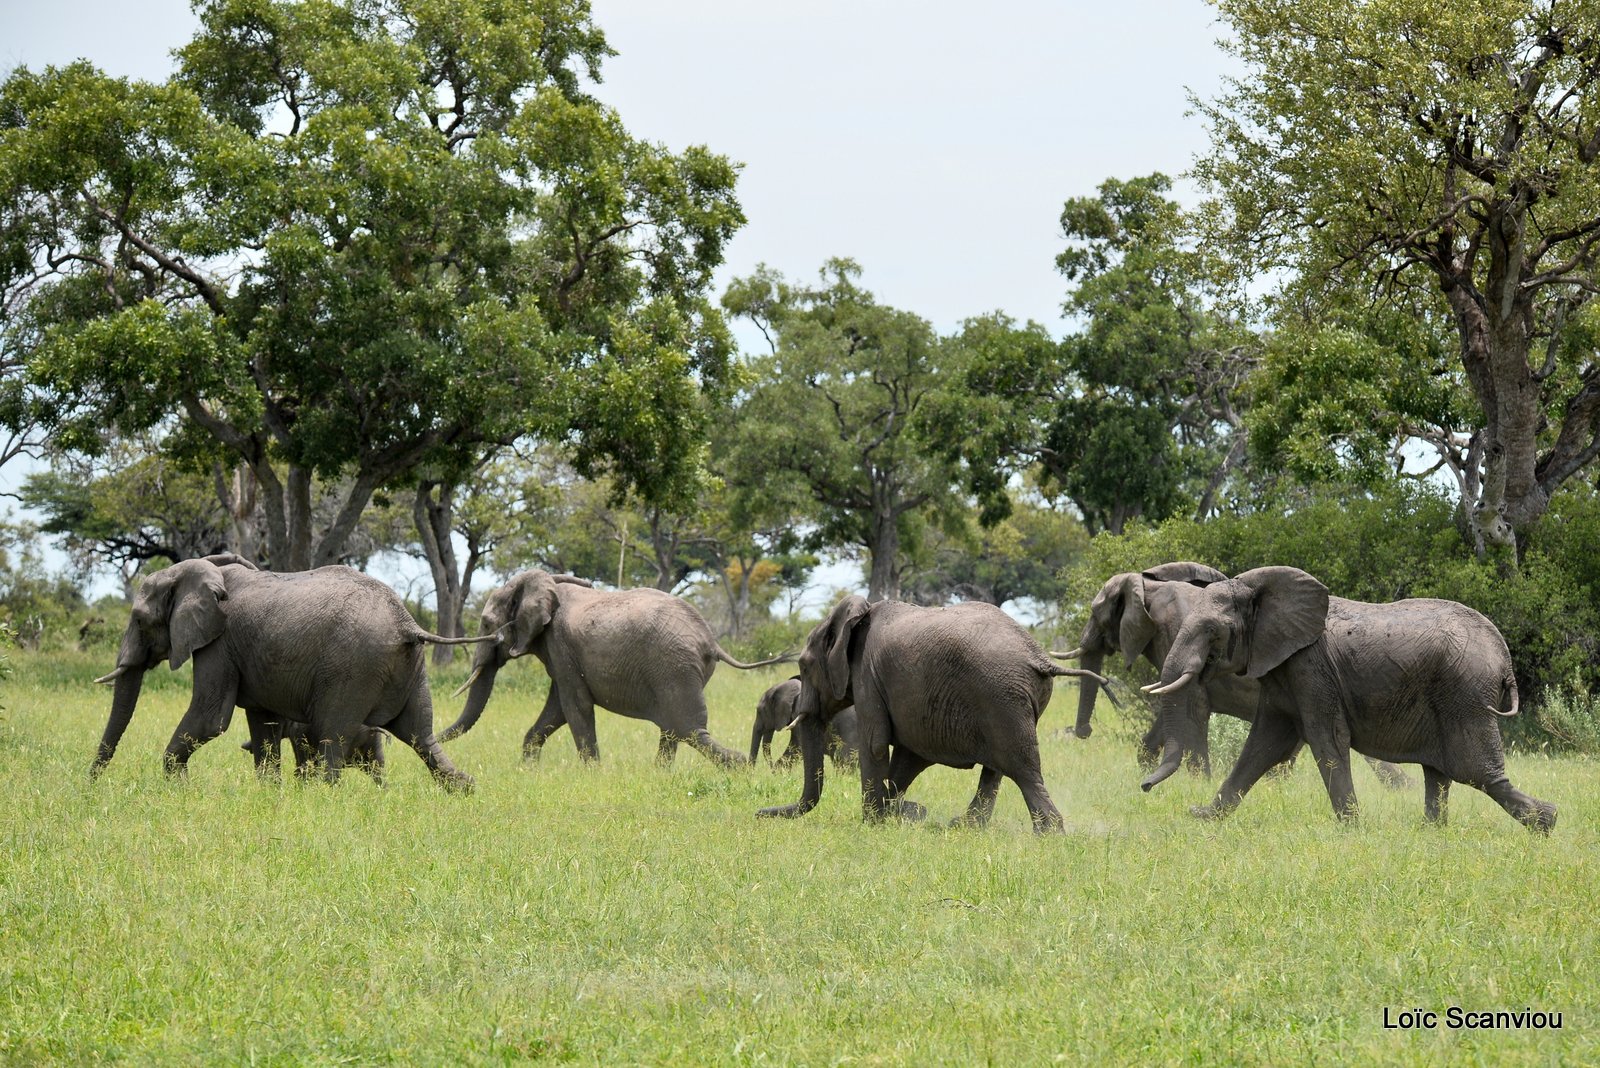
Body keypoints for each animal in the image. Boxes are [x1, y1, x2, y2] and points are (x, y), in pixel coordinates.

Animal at [88, 556, 480, 789]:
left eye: (140, 620)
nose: (91, 784)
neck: (199, 569)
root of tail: (407, 624)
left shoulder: (219, 643)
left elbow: (210, 717)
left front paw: (177, 787)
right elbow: (264, 724)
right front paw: (268, 794)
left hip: (352, 670)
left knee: (333, 735)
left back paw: (326, 797)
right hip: (410, 668)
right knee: (421, 735)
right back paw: (465, 792)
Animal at [438, 572, 793, 764]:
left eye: (486, 623)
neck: (545, 582)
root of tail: (711, 641)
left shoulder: (560, 644)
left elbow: (575, 706)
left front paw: (591, 773)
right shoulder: (559, 653)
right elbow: (557, 708)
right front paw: (528, 768)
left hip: (673, 668)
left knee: (688, 728)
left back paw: (738, 766)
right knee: (674, 729)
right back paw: (661, 775)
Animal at [755, 591, 1107, 831]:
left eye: (804, 666)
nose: (758, 813)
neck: (856, 616)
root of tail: (1041, 658)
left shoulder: (867, 674)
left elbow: (875, 744)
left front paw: (873, 822)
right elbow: (906, 758)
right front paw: (896, 814)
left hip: (1002, 698)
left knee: (1021, 768)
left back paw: (1049, 833)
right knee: (997, 769)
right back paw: (966, 827)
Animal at [1145, 562, 1555, 831]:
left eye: (1212, 630)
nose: (1145, 786)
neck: (1259, 593)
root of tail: (1504, 660)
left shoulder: (1310, 667)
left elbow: (1326, 740)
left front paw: (1350, 829)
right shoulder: (1282, 668)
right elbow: (1263, 746)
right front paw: (1204, 816)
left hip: (1465, 695)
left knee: (1479, 773)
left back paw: (1547, 823)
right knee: (1441, 774)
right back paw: (1433, 832)